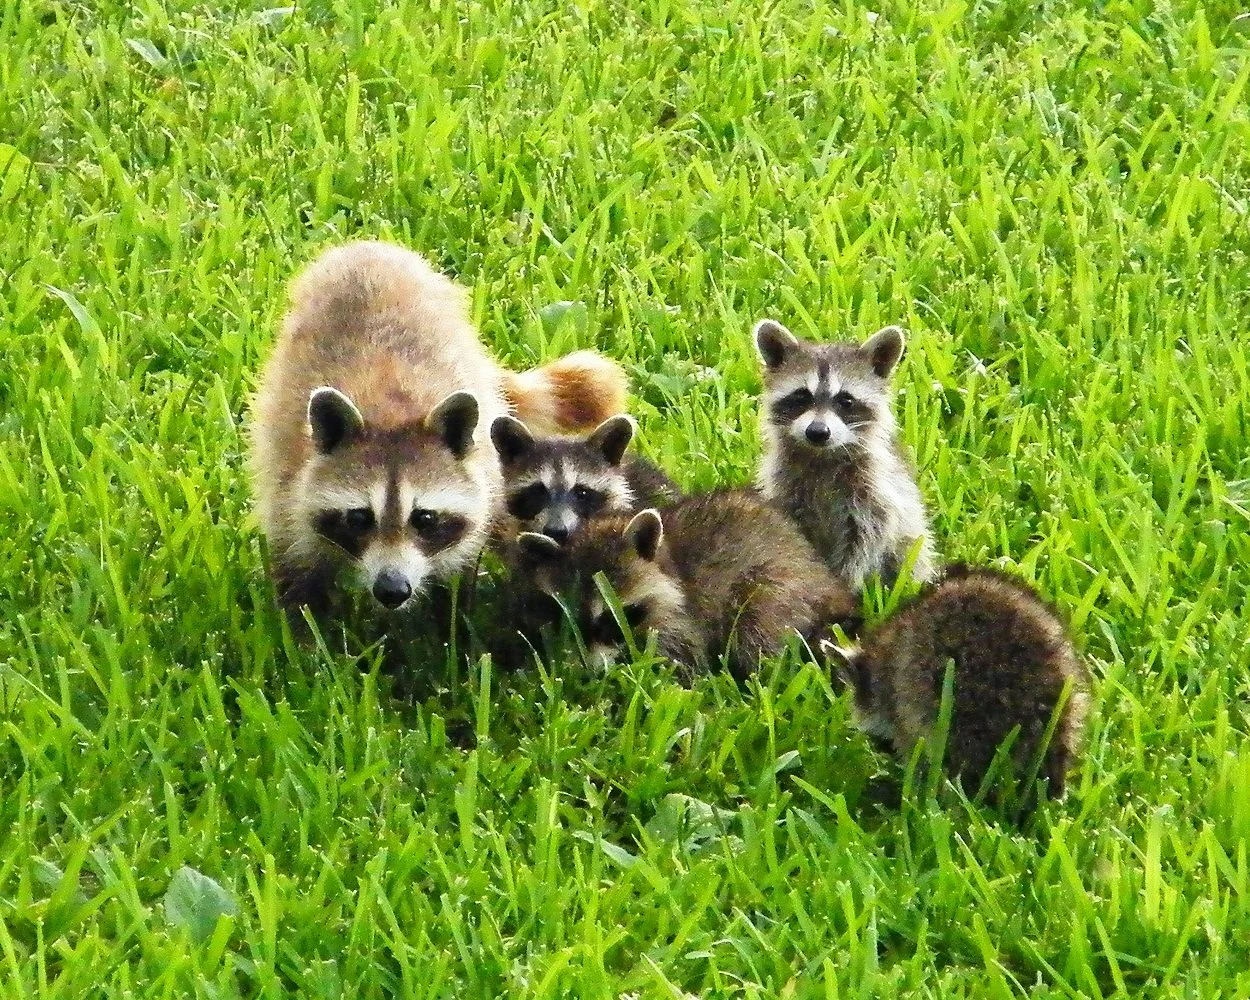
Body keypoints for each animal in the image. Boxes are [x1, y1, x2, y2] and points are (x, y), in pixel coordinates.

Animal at [249, 240, 628, 623]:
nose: (392, 590)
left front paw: (454, 622)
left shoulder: (483, 481)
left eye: (425, 518)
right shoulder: (287, 484)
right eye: (358, 517)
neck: (389, 413)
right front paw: (302, 629)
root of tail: (368, 246)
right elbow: (297, 573)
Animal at [515, 489, 860, 681]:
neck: (667, 561)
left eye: (613, 617)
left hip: (780, 585)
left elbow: (682, 663)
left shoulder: (681, 617)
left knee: (756, 623)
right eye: (570, 621)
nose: (595, 673)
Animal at [754, 318, 937, 589]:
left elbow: (864, 541)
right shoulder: (784, 486)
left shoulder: (875, 491)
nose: (817, 432)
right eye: (801, 397)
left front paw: (847, 581)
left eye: (846, 401)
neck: (822, 455)